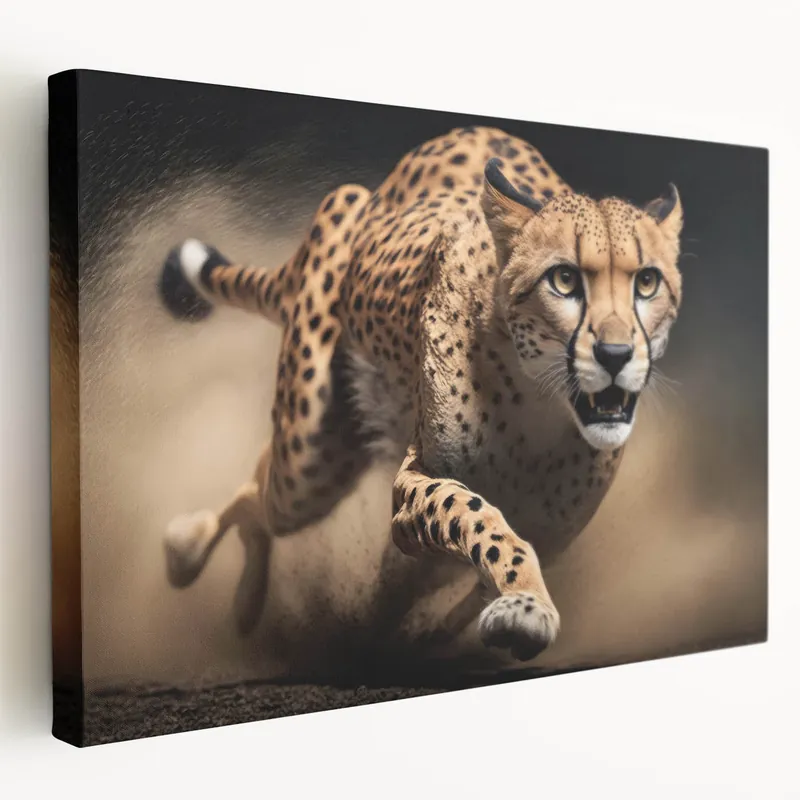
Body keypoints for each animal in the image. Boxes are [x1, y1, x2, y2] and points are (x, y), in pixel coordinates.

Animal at [158, 125, 683, 662]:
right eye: (564, 279)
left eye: (647, 282)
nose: (616, 354)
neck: (541, 409)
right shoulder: (415, 487)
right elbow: (475, 517)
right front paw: (525, 604)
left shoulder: (549, 534)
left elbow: (458, 590)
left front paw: (443, 629)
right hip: (309, 464)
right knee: (262, 497)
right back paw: (191, 554)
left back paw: (242, 602)